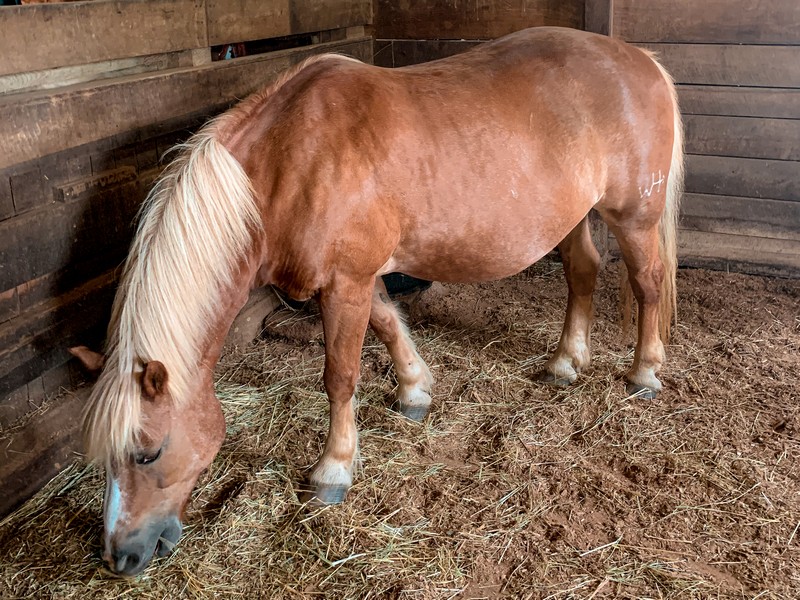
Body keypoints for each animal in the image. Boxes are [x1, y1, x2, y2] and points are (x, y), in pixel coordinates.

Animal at [70, 28, 680, 576]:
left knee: (647, 284)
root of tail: (641, 60)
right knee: (583, 273)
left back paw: (645, 372)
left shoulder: (346, 282)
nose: (120, 558)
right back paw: (565, 362)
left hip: (633, 217)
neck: (290, 162)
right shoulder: (358, 280)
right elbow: (388, 324)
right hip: (574, 215)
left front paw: (333, 470)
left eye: (147, 452)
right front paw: (415, 390)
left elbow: (340, 375)